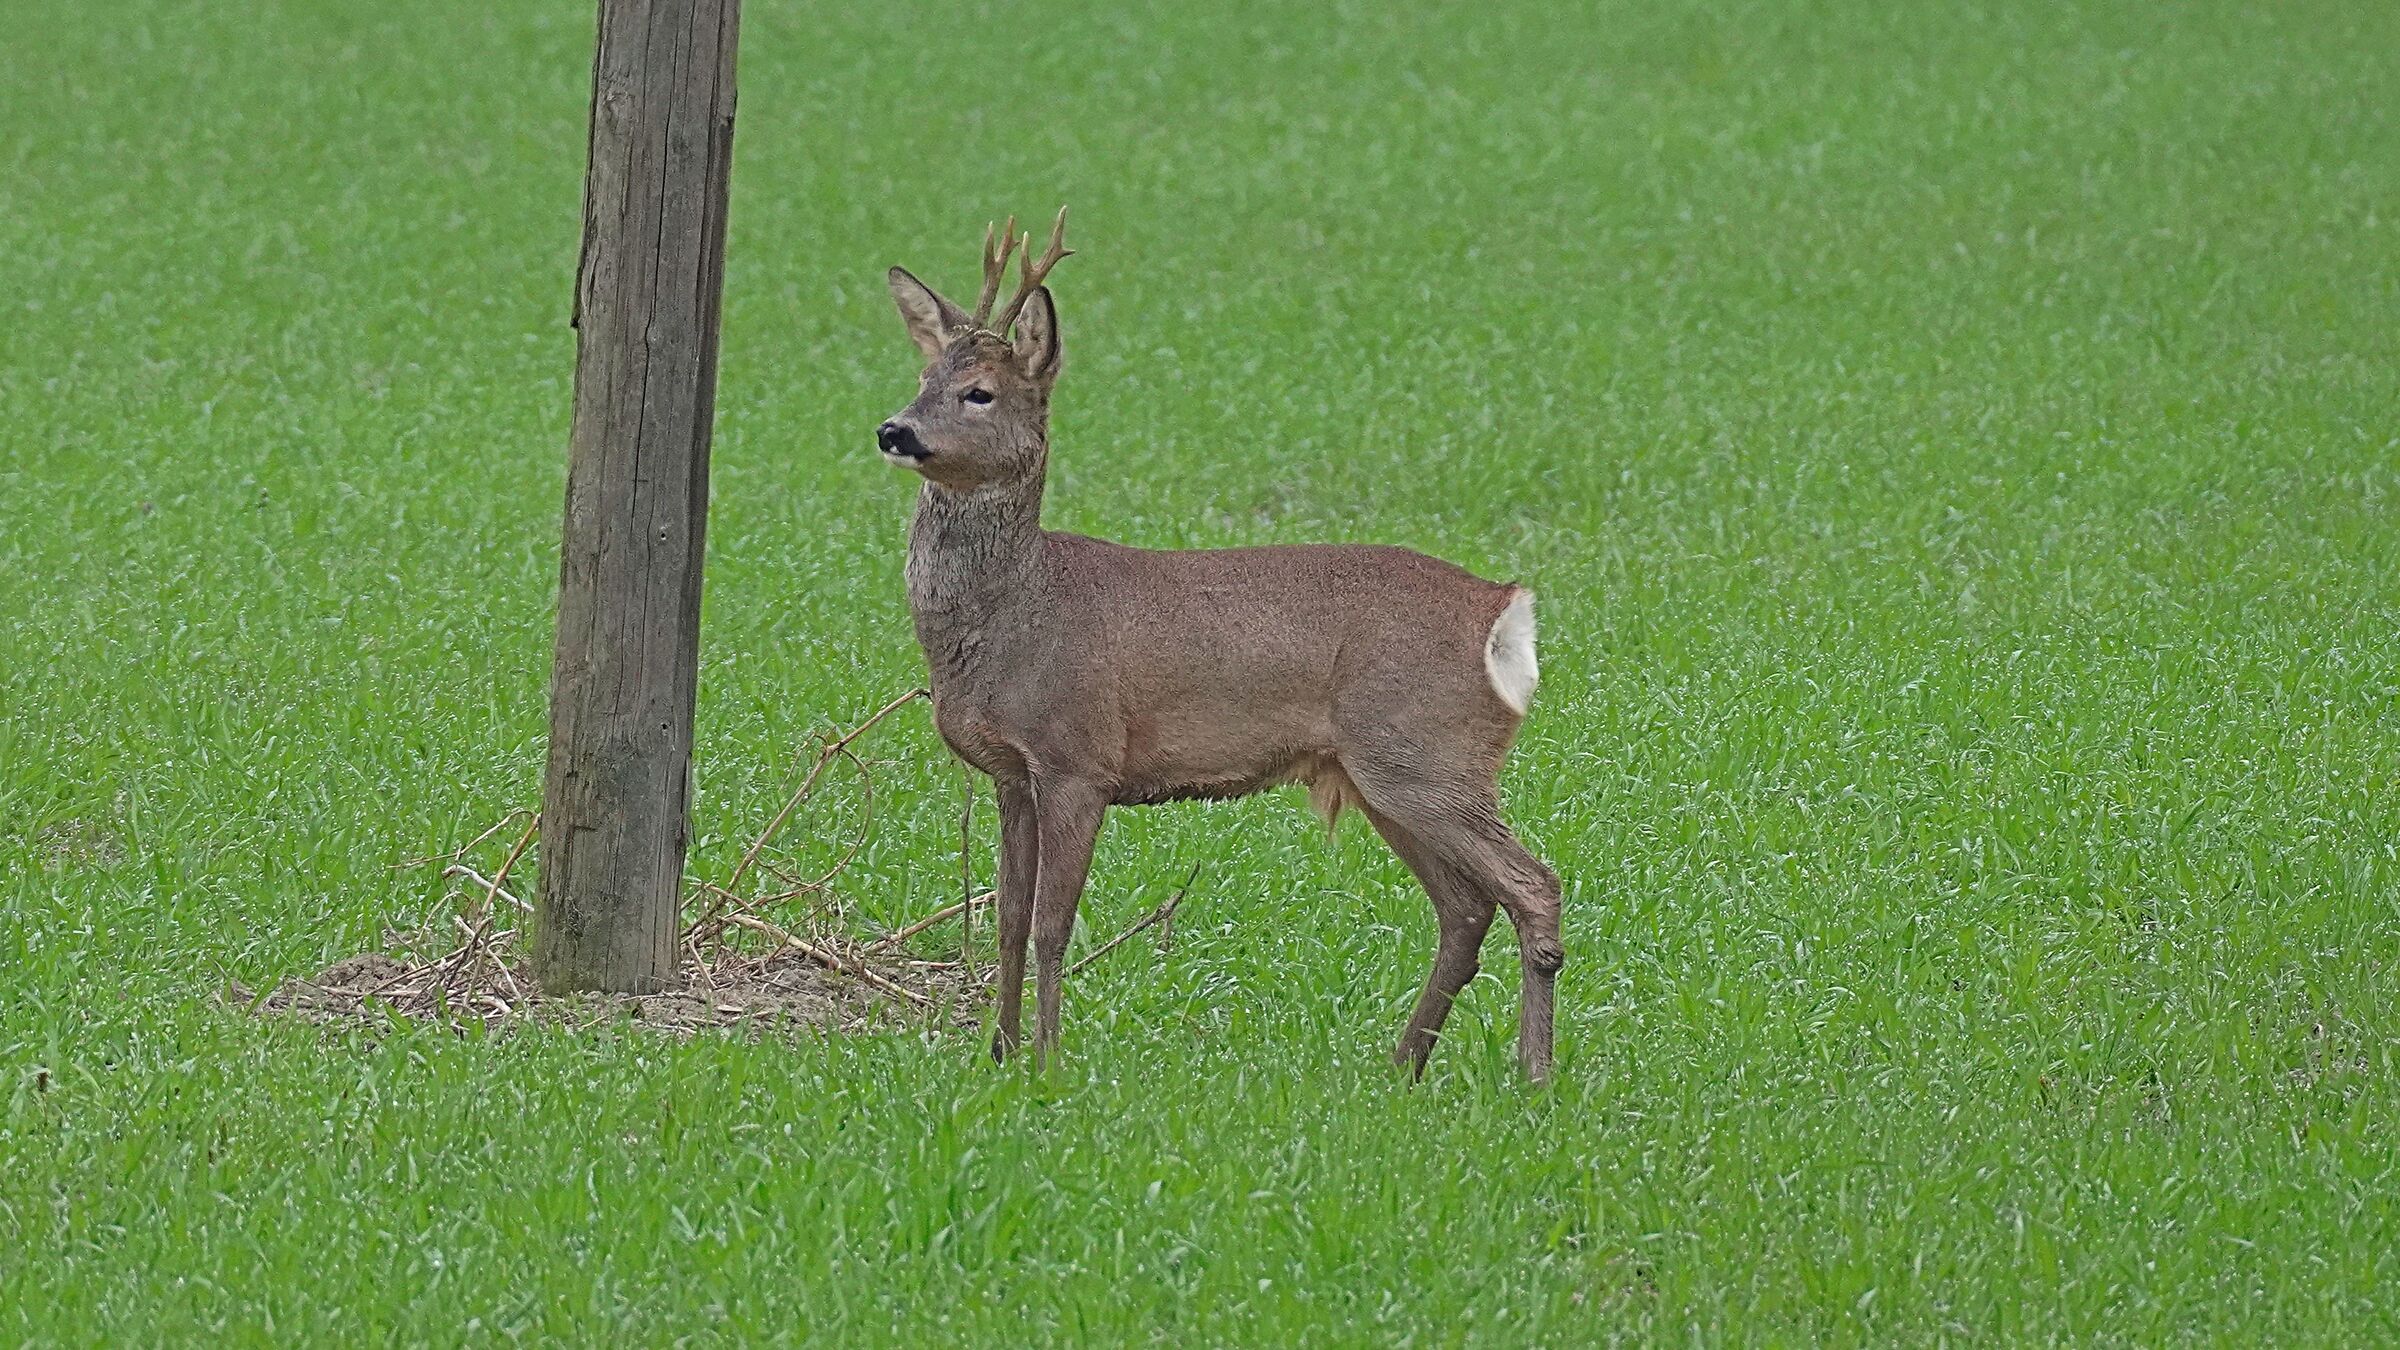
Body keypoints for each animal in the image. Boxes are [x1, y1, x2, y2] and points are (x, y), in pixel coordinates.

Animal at [874, 209, 1565, 1081]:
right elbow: (1006, 919)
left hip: (1426, 756)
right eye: (923, 378)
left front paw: (1049, 1061)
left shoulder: (1078, 756)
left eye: (980, 392)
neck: (1015, 612)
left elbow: (1051, 926)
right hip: (1385, 774)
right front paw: (997, 1056)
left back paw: (1532, 1078)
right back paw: (1402, 1067)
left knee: (1534, 886)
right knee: (1468, 907)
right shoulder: (1009, 772)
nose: (894, 430)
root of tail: (1504, 610)